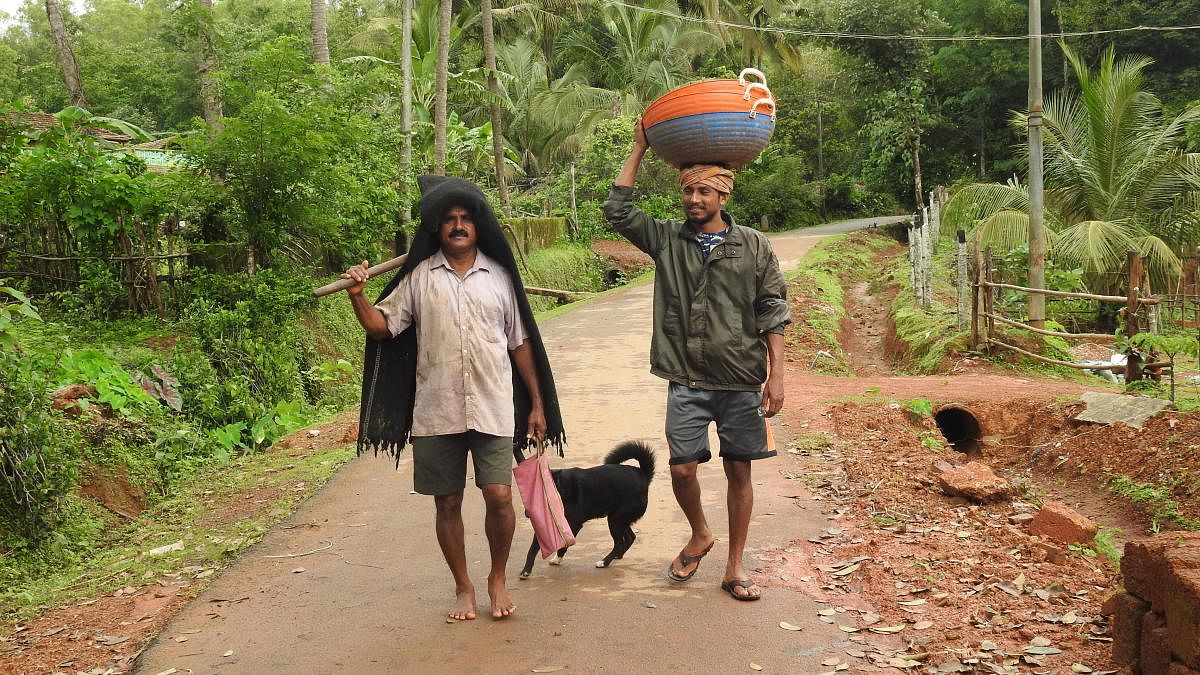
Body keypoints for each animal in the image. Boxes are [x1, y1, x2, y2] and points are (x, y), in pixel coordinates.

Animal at [520, 439, 657, 576]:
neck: (559, 489)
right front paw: (526, 570)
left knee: (619, 543)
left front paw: (557, 558)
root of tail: (643, 476)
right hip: (619, 518)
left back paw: (604, 562)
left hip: (615, 520)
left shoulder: (573, 524)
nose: (528, 513)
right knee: (630, 538)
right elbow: (533, 548)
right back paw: (617, 556)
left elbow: (564, 546)